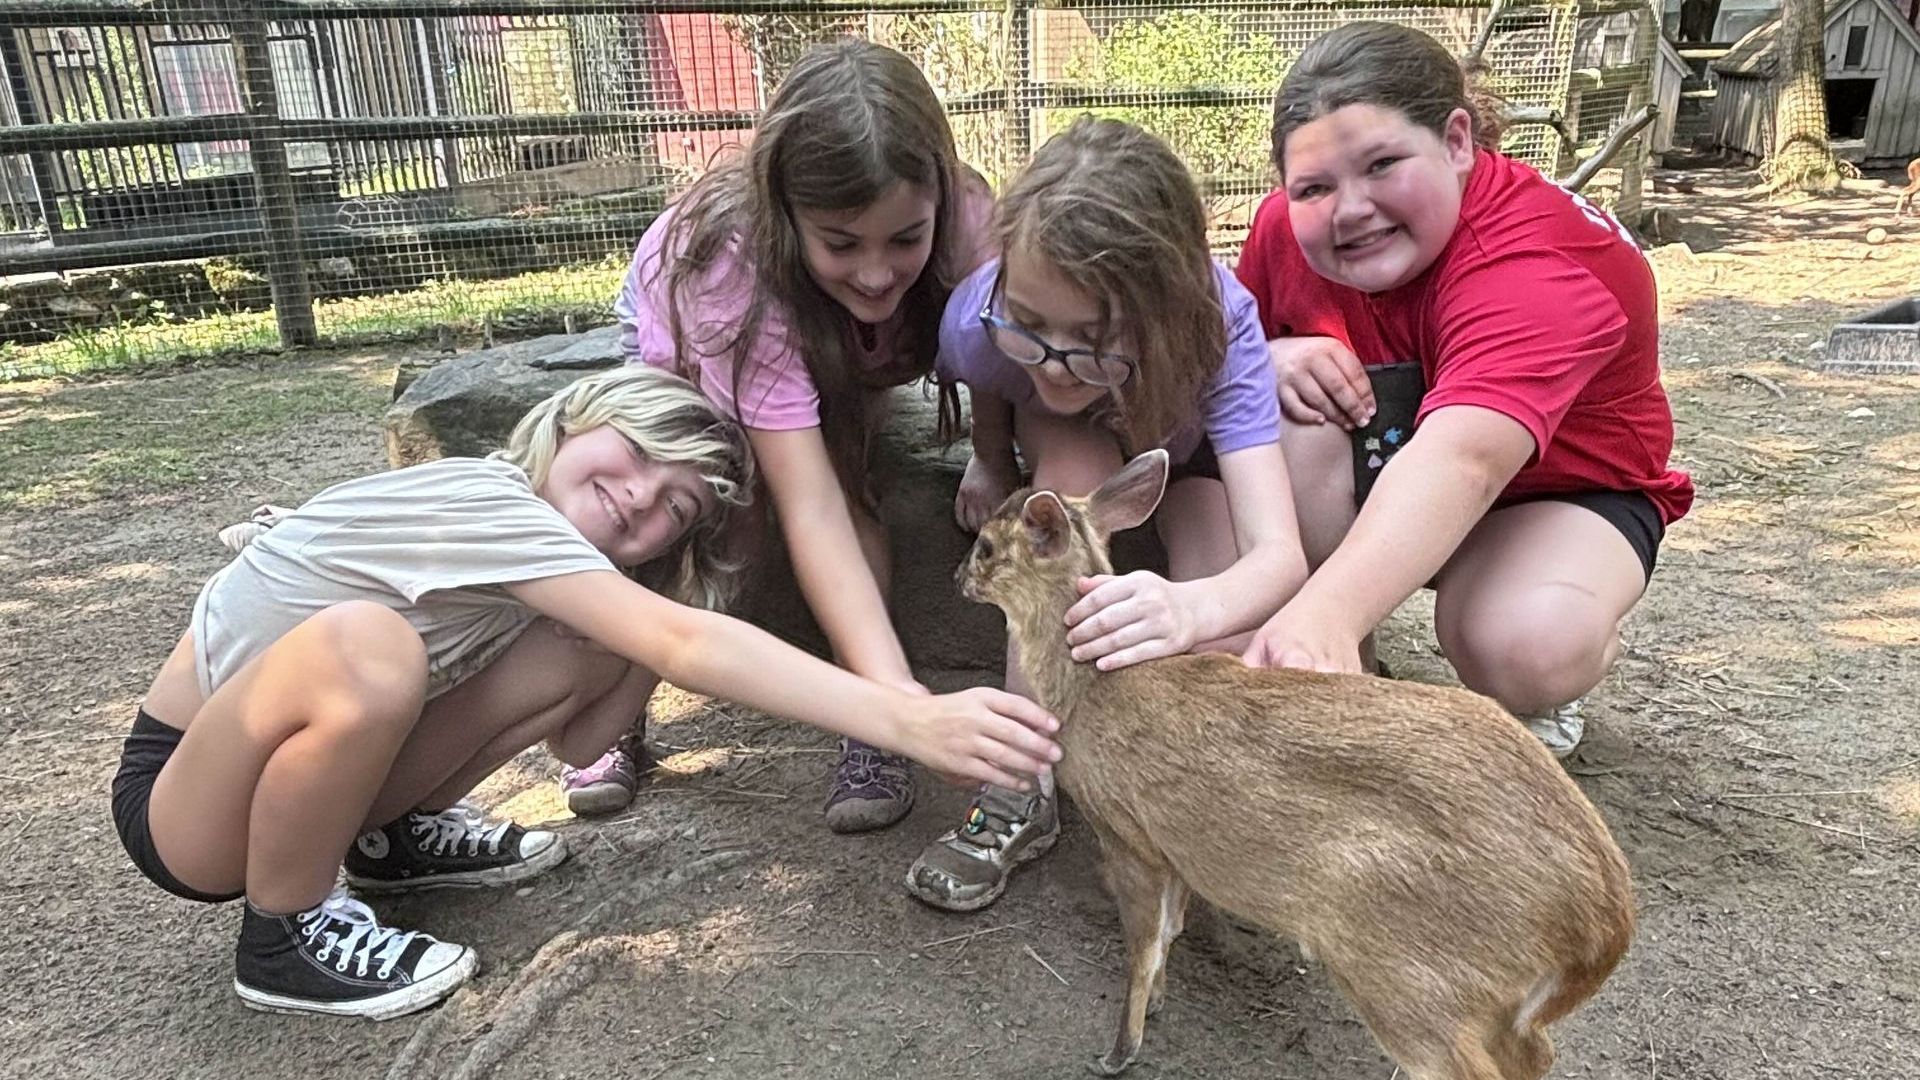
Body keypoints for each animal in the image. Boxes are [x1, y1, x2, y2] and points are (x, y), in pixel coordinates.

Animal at [960, 447, 1635, 1076]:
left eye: (986, 546)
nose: (960, 577)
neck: (1093, 691)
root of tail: (1604, 924)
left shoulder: (1127, 835)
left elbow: (1143, 945)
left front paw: (1121, 1048)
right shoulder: (1173, 850)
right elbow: (1171, 930)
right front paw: (1159, 1005)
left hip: (1405, 966)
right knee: (1537, 1053)